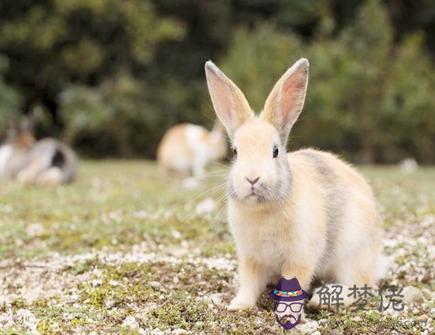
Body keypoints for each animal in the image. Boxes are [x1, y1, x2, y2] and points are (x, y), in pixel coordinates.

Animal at [205, 58, 384, 312]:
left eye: (275, 151)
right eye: (236, 152)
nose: (252, 178)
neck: (262, 209)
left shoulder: (300, 257)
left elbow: (294, 283)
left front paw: (285, 314)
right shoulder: (251, 258)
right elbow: (249, 283)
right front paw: (238, 305)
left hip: (352, 253)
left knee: (360, 285)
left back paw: (324, 299)